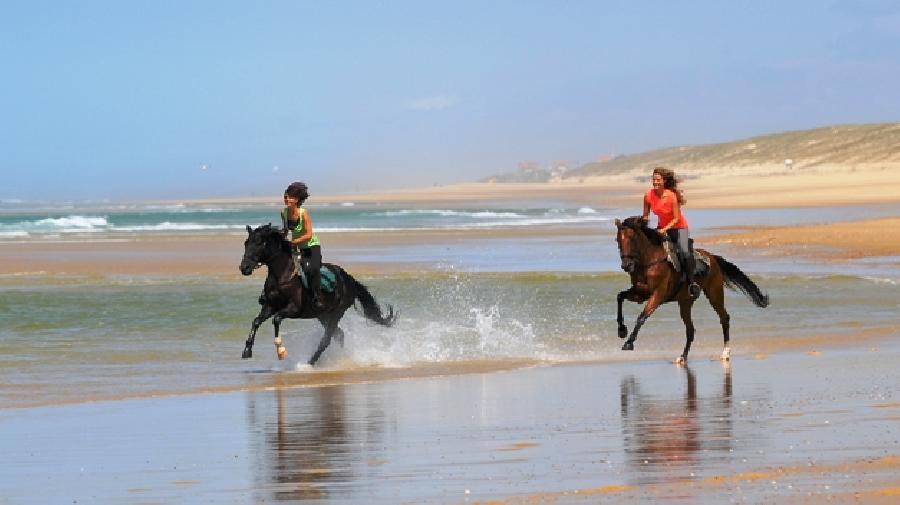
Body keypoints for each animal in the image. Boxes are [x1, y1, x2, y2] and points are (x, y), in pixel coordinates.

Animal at [239, 223, 398, 362]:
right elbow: (256, 321)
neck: (282, 275)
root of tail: (349, 279)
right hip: (323, 315)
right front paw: (247, 351)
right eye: (246, 243)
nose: (244, 268)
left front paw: (281, 351)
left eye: (259, 243)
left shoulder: (294, 309)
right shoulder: (270, 305)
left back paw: (311, 362)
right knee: (339, 335)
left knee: (326, 339)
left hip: (336, 313)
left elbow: (276, 319)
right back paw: (340, 357)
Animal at [616, 216, 768, 362]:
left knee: (724, 318)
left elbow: (642, 316)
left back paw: (725, 353)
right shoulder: (640, 293)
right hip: (685, 302)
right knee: (690, 330)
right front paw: (622, 330)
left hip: (714, 293)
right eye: (617, 240)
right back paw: (683, 357)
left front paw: (628, 343)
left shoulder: (658, 295)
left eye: (632, 239)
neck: (650, 261)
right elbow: (620, 296)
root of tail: (712, 257)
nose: (626, 265)